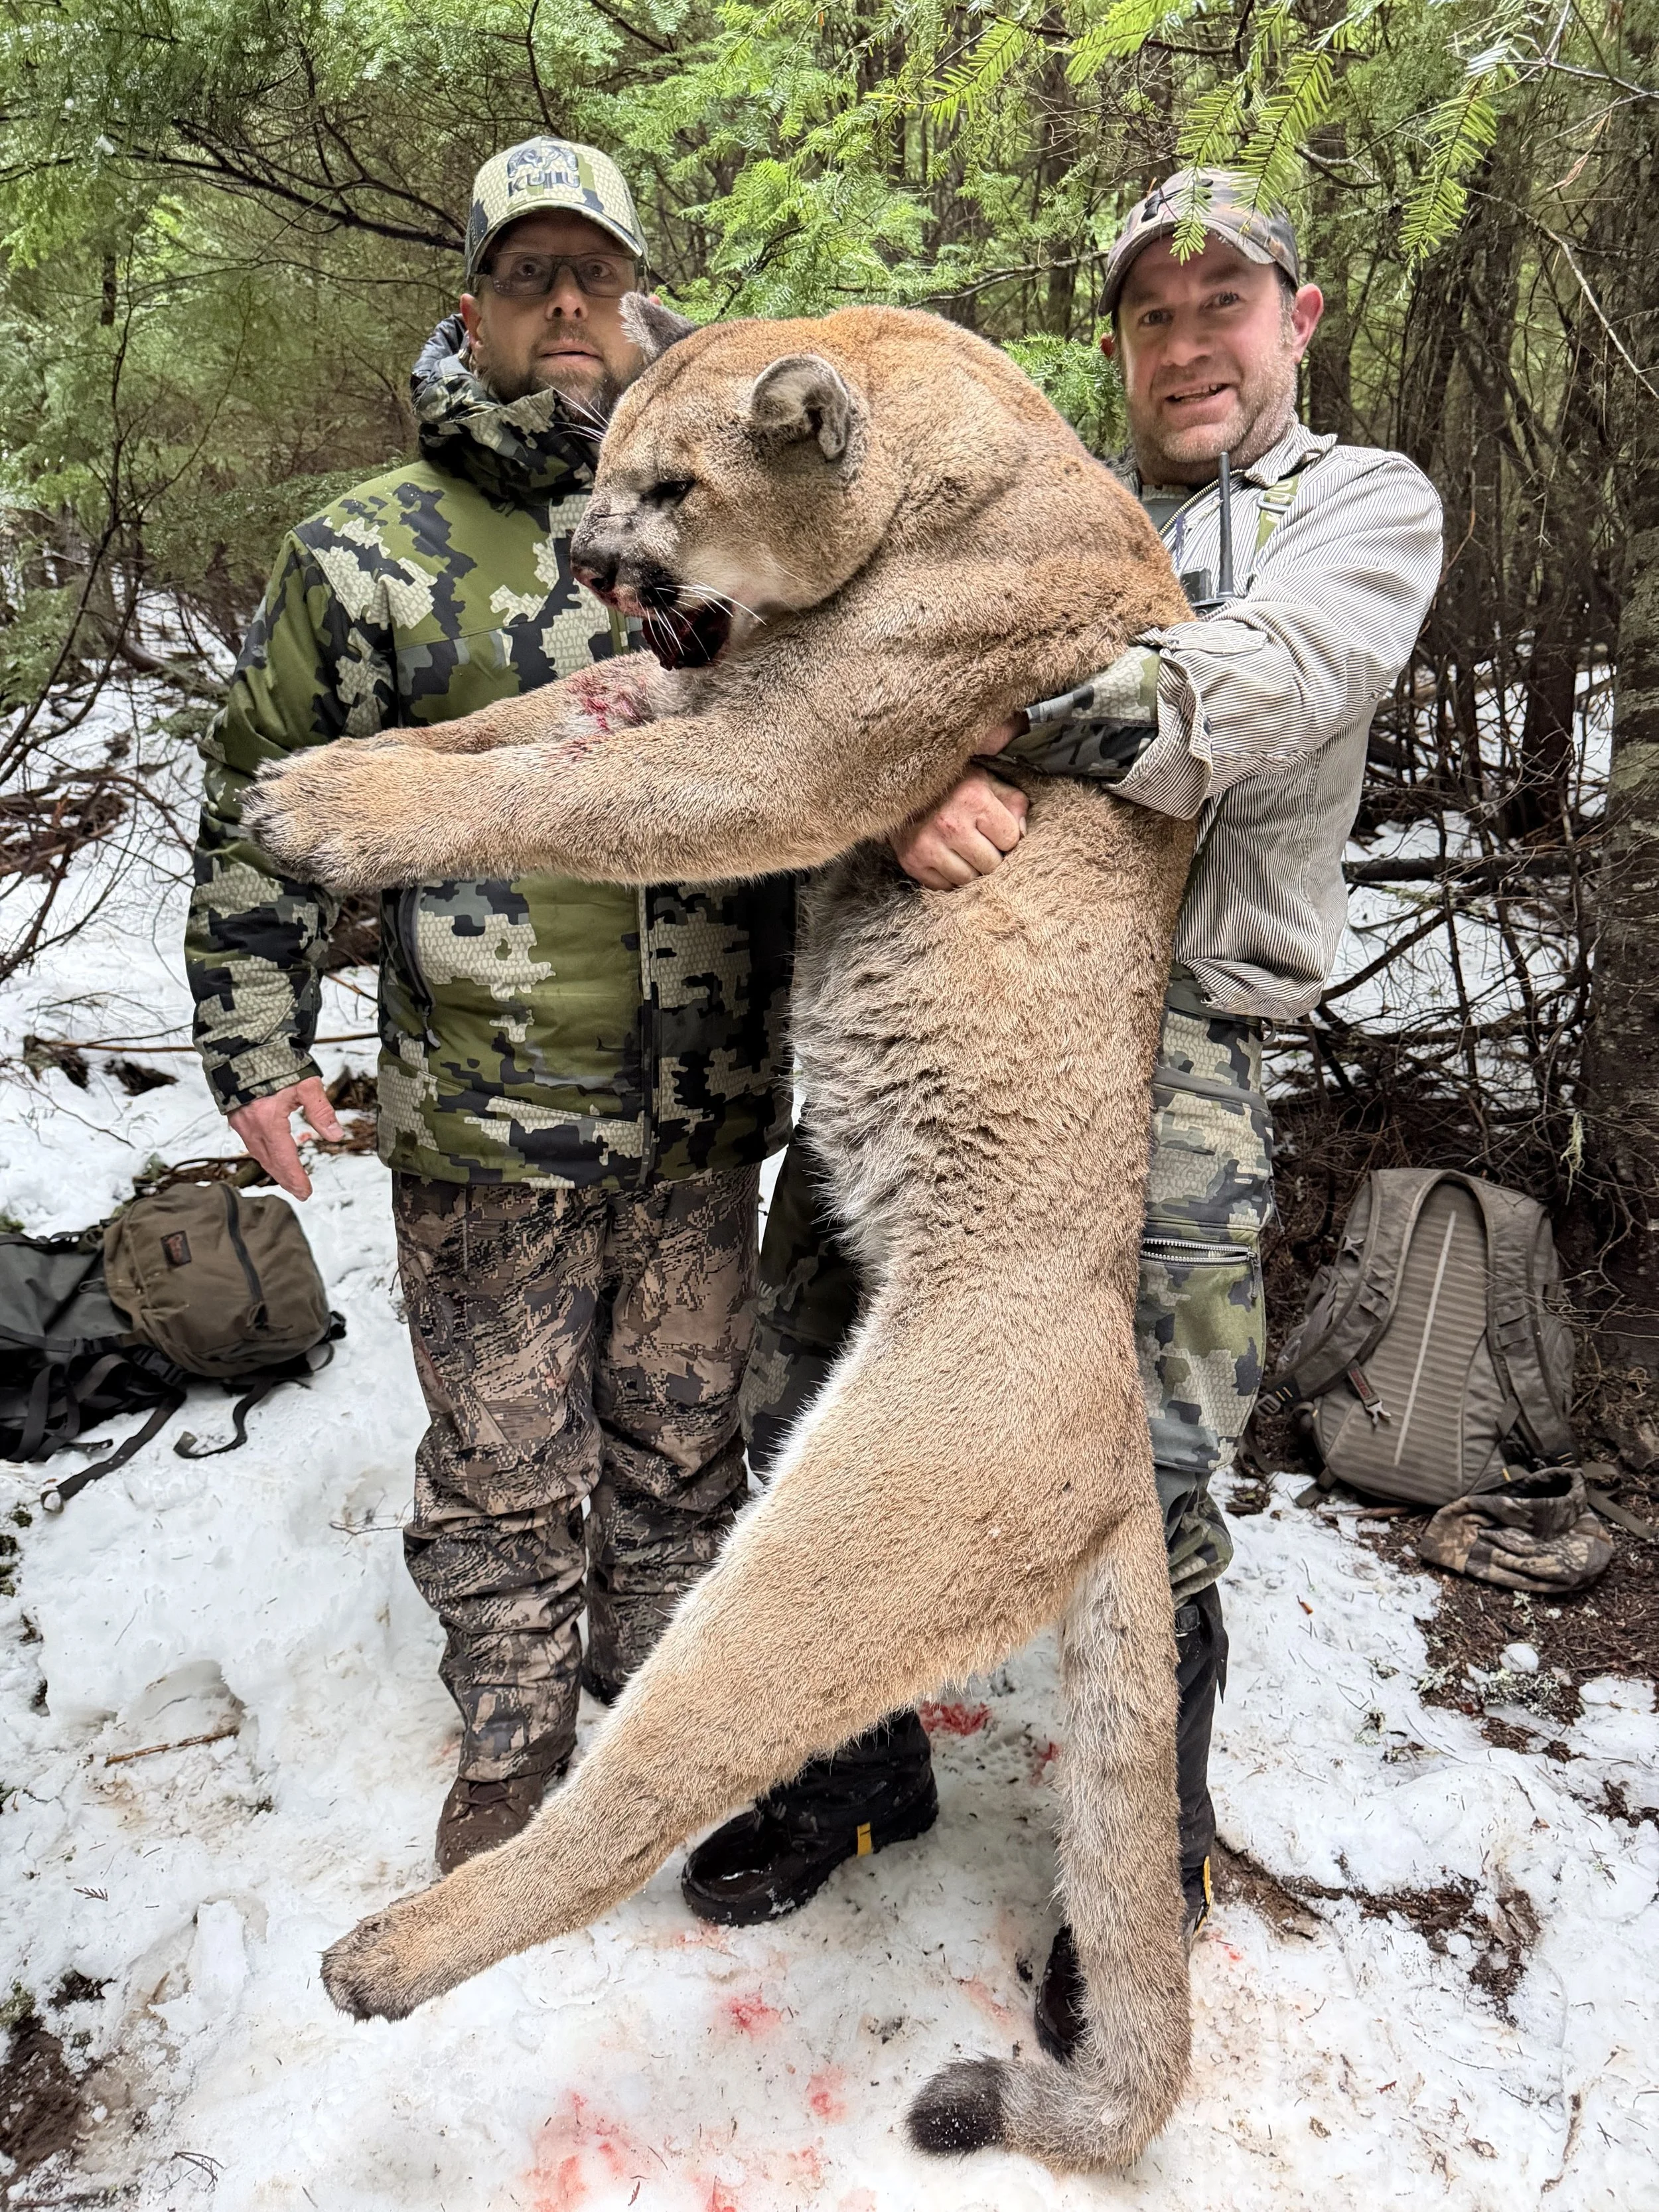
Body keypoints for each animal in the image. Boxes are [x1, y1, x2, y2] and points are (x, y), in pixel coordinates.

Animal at [245, 299, 1196, 2175]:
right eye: (601, 466)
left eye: (673, 484)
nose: (593, 560)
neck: (945, 449)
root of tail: (1121, 1450)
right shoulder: (684, 676)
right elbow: (526, 717)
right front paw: (320, 767)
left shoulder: (771, 749)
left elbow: (559, 793)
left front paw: (331, 817)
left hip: (834, 1549)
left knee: (637, 1788)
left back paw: (386, 1954)